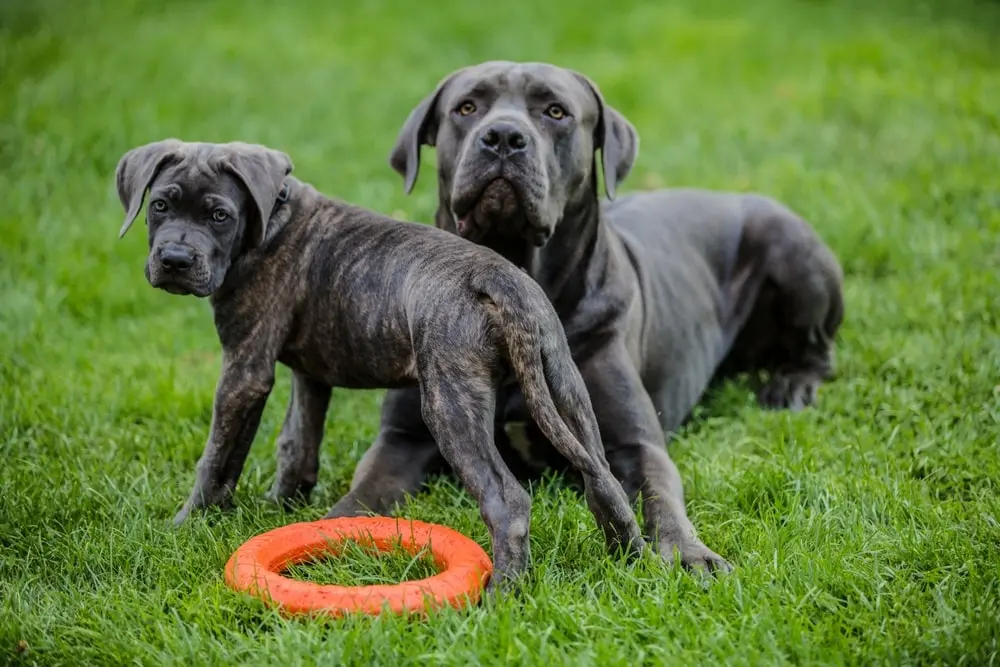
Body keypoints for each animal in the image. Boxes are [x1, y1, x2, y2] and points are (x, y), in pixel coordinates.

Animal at [113, 138, 644, 588]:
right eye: (160, 206)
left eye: (219, 215)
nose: (175, 260)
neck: (273, 219)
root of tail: (499, 278)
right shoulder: (309, 375)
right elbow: (296, 443)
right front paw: (282, 507)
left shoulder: (244, 371)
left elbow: (219, 455)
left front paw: (188, 523)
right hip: (565, 387)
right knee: (603, 479)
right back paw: (635, 563)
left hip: (451, 404)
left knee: (508, 501)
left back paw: (501, 596)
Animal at [336, 61, 844, 576]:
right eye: (467, 107)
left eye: (555, 111)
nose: (503, 137)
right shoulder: (401, 439)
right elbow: (362, 494)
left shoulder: (636, 445)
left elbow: (661, 497)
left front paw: (690, 554)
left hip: (790, 245)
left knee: (819, 349)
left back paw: (792, 386)